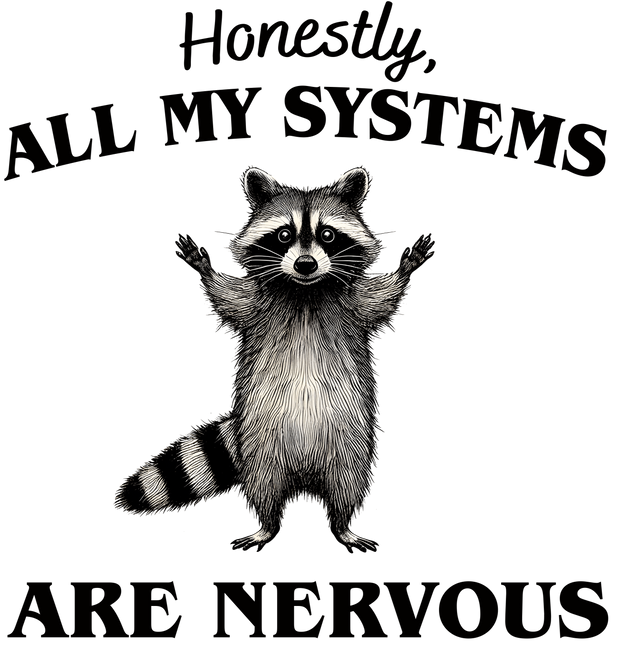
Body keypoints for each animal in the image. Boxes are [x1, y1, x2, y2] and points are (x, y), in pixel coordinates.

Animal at [111, 162, 438, 556]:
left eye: (327, 234)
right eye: (284, 235)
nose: (306, 264)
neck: (305, 291)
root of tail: (304, 474)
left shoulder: (353, 305)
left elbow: (382, 299)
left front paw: (407, 265)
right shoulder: (257, 305)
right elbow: (227, 297)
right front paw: (203, 265)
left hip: (350, 440)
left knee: (348, 483)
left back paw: (343, 526)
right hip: (261, 444)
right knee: (262, 487)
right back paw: (266, 527)